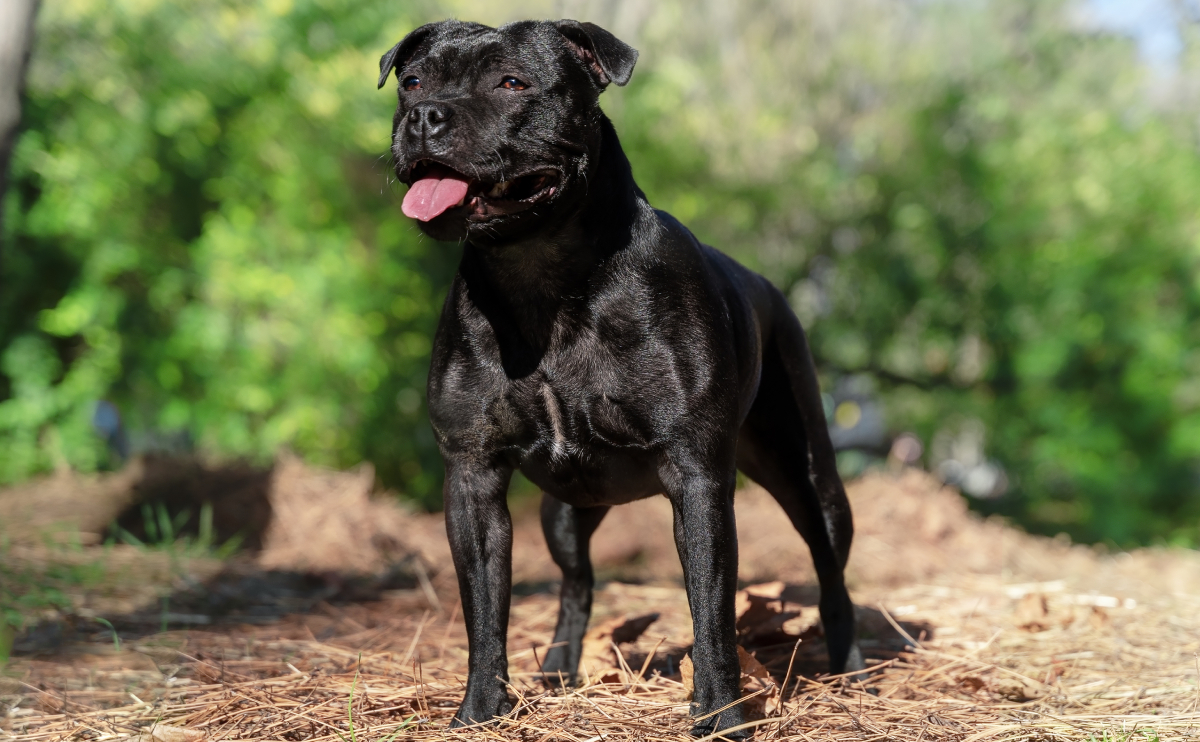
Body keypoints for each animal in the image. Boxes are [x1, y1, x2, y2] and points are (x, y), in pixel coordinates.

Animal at [379, 18, 859, 734]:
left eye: (512, 82)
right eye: (411, 82)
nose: (423, 115)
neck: (542, 278)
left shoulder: (696, 476)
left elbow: (711, 610)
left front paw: (721, 714)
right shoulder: (472, 478)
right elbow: (485, 611)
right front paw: (481, 711)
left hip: (809, 477)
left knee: (831, 572)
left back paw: (853, 672)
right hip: (564, 511)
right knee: (578, 583)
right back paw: (557, 670)